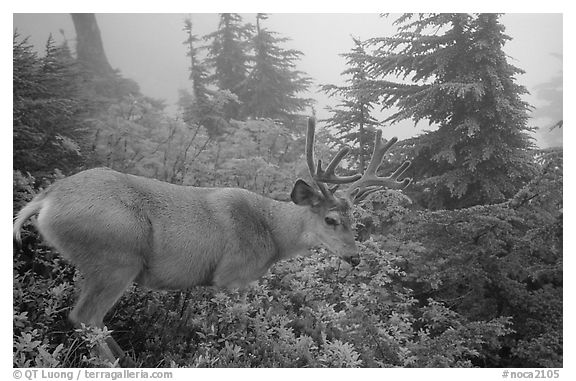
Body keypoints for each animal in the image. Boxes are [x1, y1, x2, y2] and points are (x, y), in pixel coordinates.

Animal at [12, 117, 410, 364]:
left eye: (355, 220)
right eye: (330, 219)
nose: (355, 257)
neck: (271, 234)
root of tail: (46, 200)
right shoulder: (231, 276)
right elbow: (236, 328)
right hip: (117, 257)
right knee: (84, 316)